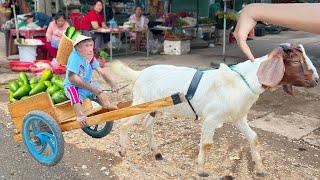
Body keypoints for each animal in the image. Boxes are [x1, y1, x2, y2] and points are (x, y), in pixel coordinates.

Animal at [109, 44, 318, 177]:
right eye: (297, 62)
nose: (316, 81)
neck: (243, 81)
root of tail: (139, 74)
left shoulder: (239, 117)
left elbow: (254, 138)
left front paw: (260, 168)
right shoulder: (211, 118)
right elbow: (207, 144)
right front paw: (201, 170)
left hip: (156, 107)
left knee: (147, 124)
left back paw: (157, 153)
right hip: (141, 103)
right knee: (124, 123)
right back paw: (122, 150)